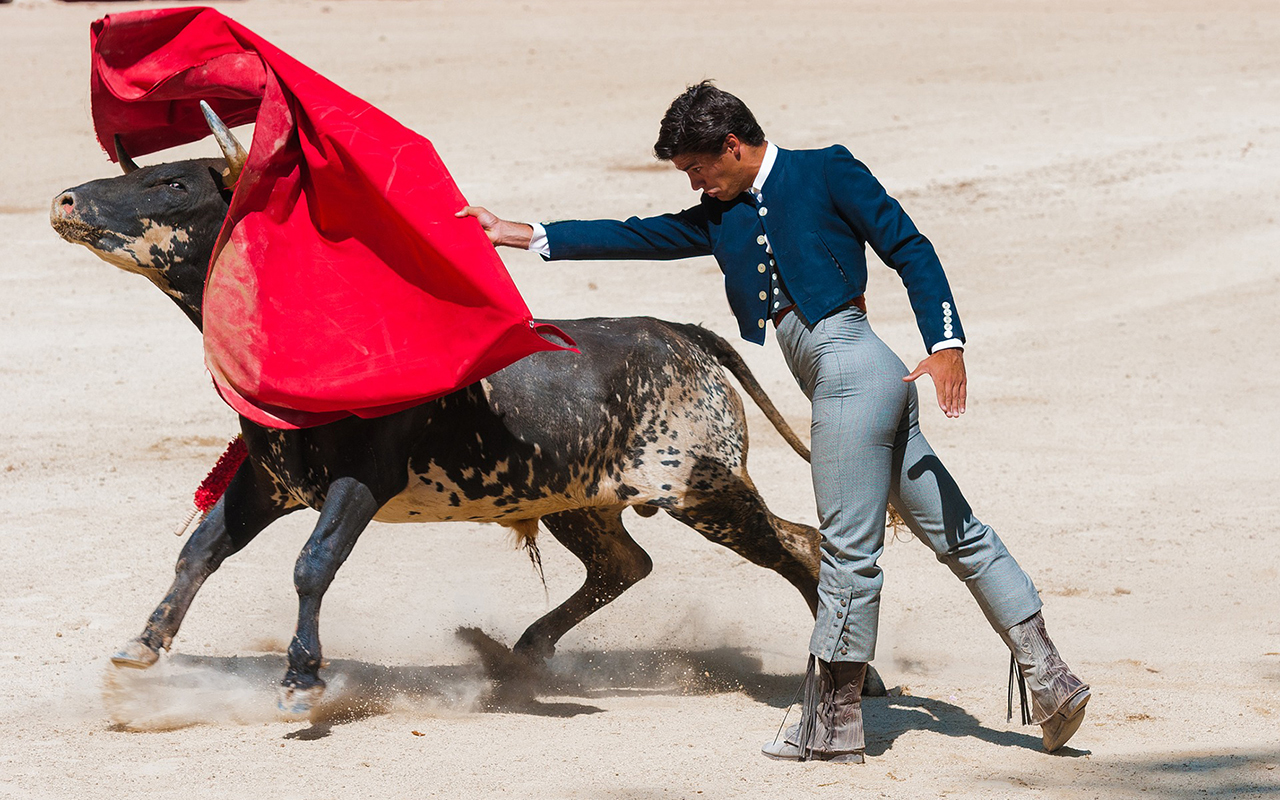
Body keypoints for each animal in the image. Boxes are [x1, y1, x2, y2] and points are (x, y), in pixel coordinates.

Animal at [49, 106, 880, 711]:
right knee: (626, 563)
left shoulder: (359, 483)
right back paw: (518, 656)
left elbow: (311, 564)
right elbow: (201, 551)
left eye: (174, 186)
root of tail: (679, 333)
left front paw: (301, 681)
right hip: (579, 499)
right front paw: (141, 648)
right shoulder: (269, 480)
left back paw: (857, 678)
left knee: (797, 545)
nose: (64, 200)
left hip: (703, 487)